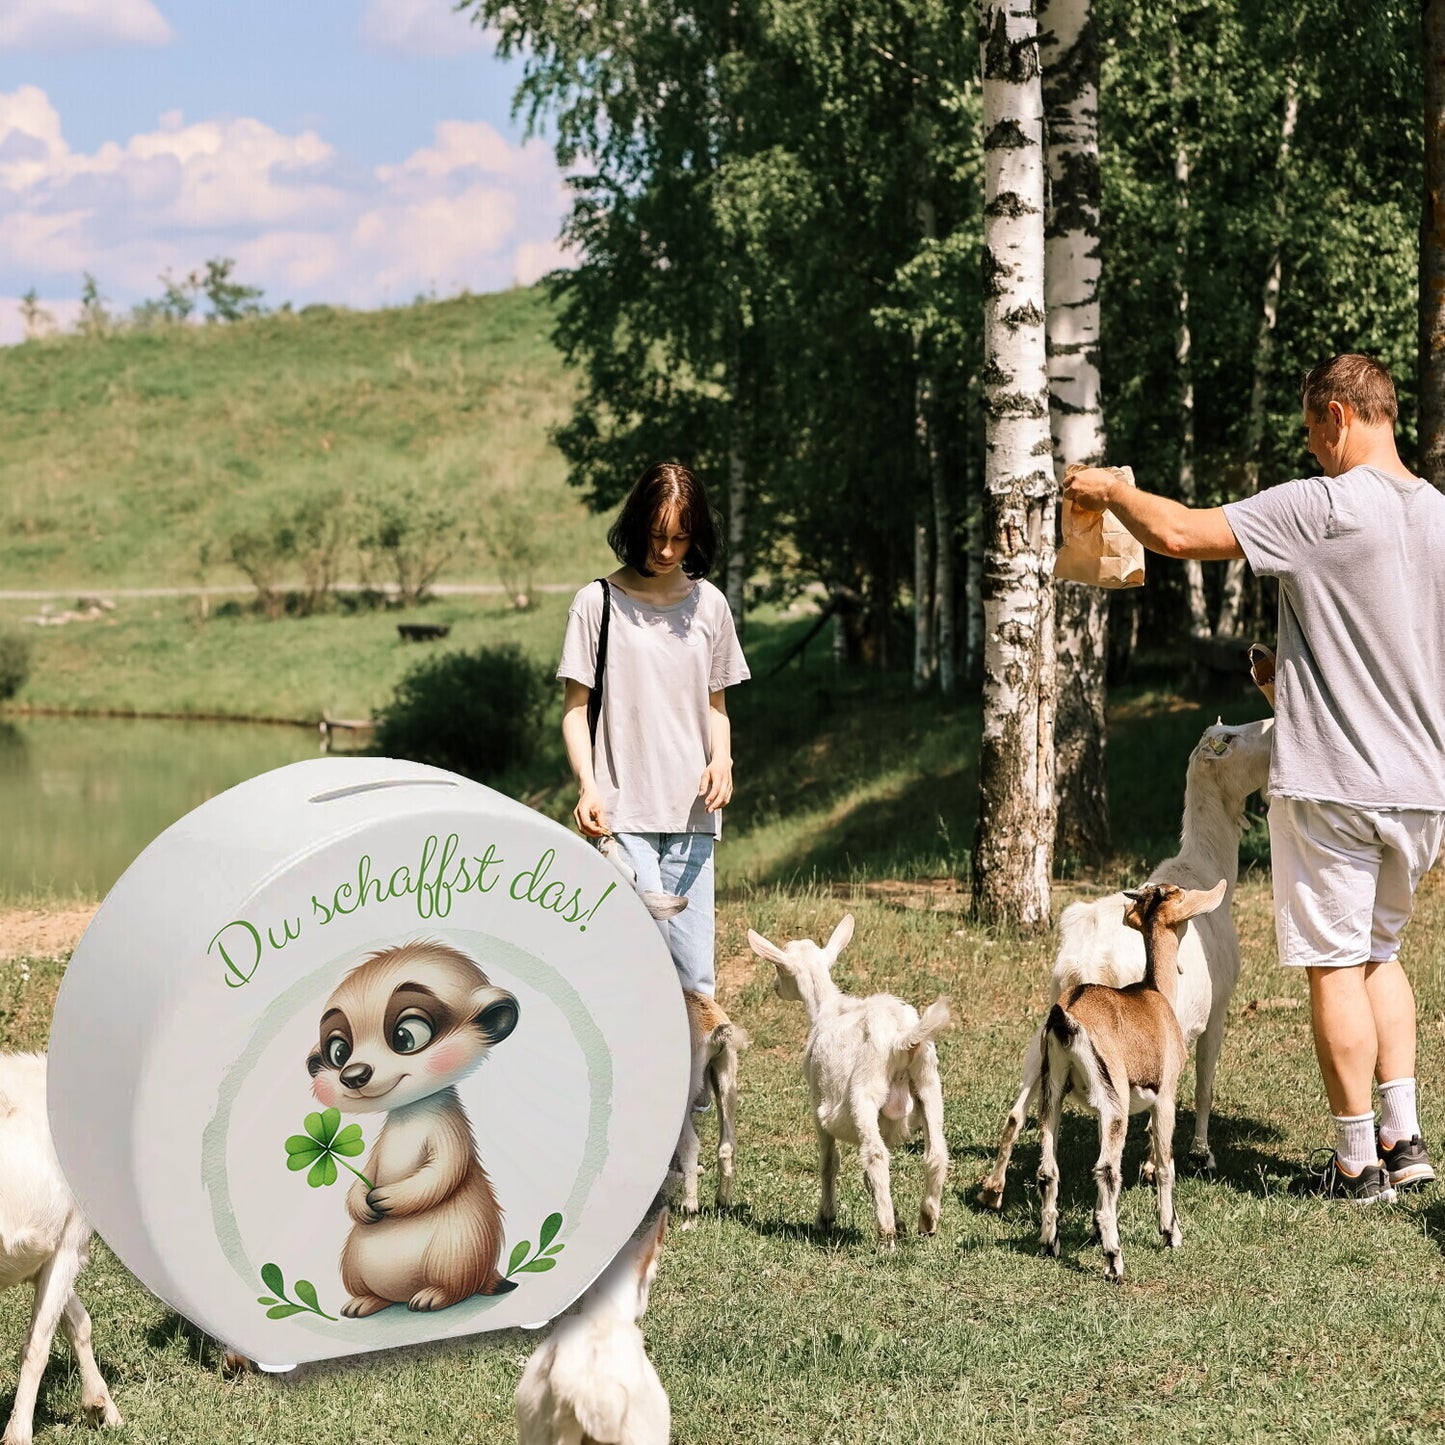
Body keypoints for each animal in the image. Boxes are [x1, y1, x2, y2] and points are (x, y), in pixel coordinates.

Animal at [0, 1051, 122, 1445]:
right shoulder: (70, 1240)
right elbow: (37, 1344)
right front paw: (18, 1434)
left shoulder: (47, 1253)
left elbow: (77, 1321)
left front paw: (101, 1407)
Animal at [745, 919, 947, 1248]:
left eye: (779, 969)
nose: (775, 988)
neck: (826, 1008)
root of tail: (901, 1039)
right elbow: (867, 1174)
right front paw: (899, 1219)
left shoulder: (817, 1103)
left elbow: (829, 1162)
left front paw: (826, 1218)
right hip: (929, 1084)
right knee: (936, 1153)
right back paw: (926, 1221)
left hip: (863, 1094)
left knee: (876, 1155)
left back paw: (886, 1235)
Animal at [976, 713, 1271, 1208]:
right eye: (1229, 738)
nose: (1271, 722)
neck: (1205, 870)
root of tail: (1085, 959)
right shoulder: (1215, 1013)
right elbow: (1204, 1086)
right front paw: (1196, 1156)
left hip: (1043, 1036)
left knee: (1019, 1109)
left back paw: (992, 1188)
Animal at [1034, 872, 1225, 1283]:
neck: (1153, 993)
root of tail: (1066, 1018)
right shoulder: (1165, 1096)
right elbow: (1165, 1164)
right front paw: (1171, 1233)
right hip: (1115, 1101)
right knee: (1107, 1169)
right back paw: (1114, 1261)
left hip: (1052, 1092)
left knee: (1048, 1169)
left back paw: (1049, 1243)